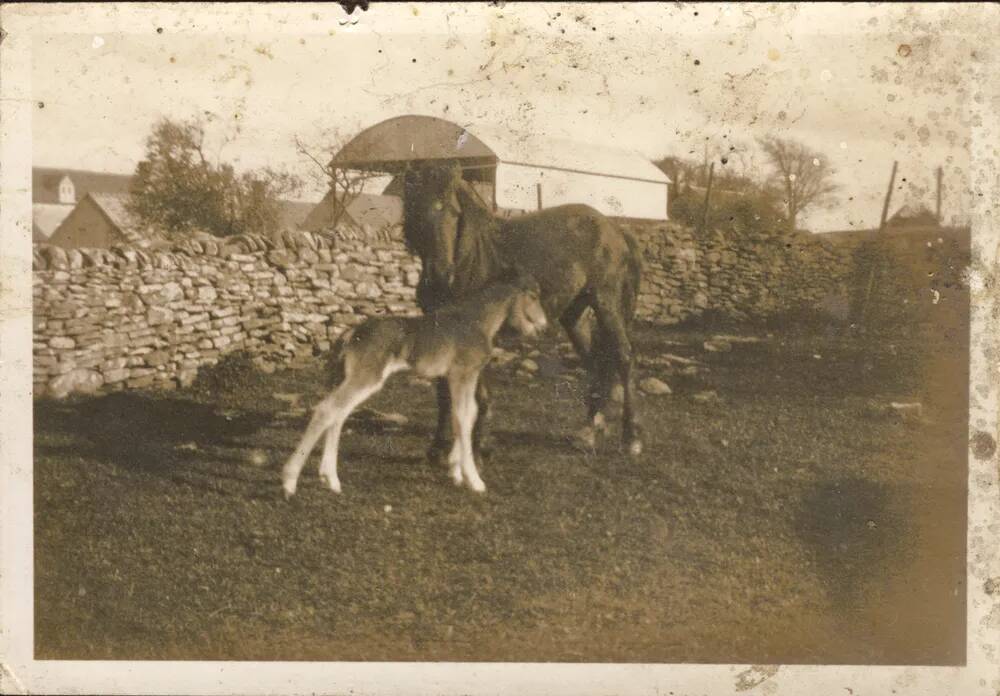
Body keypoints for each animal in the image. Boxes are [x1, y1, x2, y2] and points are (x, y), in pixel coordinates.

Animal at [282, 274, 548, 498]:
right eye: (533, 297)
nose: (544, 325)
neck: (475, 322)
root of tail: (353, 330)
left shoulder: (455, 377)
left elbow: (464, 415)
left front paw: (455, 471)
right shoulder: (463, 373)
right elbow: (463, 417)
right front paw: (474, 481)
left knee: (338, 415)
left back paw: (331, 480)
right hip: (366, 377)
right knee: (327, 411)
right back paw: (289, 481)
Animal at [402, 160, 644, 460]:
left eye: (454, 213)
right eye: (418, 211)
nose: (440, 275)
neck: (471, 261)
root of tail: (614, 228)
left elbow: (478, 392)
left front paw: (480, 444)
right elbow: (443, 390)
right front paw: (437, 448)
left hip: (606, 303)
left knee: (623, 357)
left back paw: (631, 439)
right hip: (575, 314)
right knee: (596, 362)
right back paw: (588, 433)